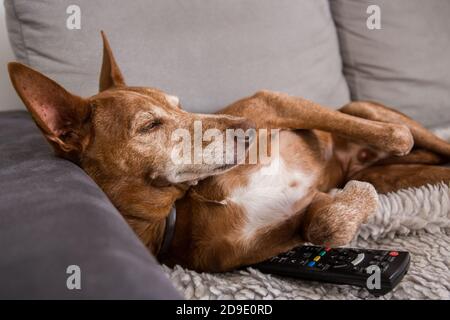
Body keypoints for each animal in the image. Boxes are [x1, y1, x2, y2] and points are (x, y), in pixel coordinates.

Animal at [7, 33, 450, 272]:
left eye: (180, 104)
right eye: (150, 126)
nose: (249, 129)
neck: (183, 204)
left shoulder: (273, 100)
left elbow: (397, 136)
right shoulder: (253, 250)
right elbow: (320, 225)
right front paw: (349, 202)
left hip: (364, 108)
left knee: (410, 136)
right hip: (398, 174)